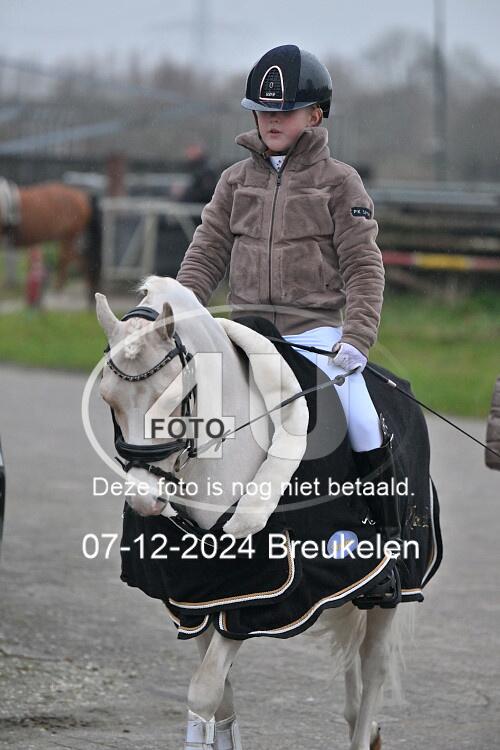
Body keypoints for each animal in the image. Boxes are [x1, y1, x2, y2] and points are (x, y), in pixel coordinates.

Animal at [95, 275, 441, 750]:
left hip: (395, 590)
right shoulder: (198, 600)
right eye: (107, 399)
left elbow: (204, 690)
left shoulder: (257, 599)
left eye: (176, 398)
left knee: (374, 667)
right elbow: (221, 699)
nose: (145, 498)